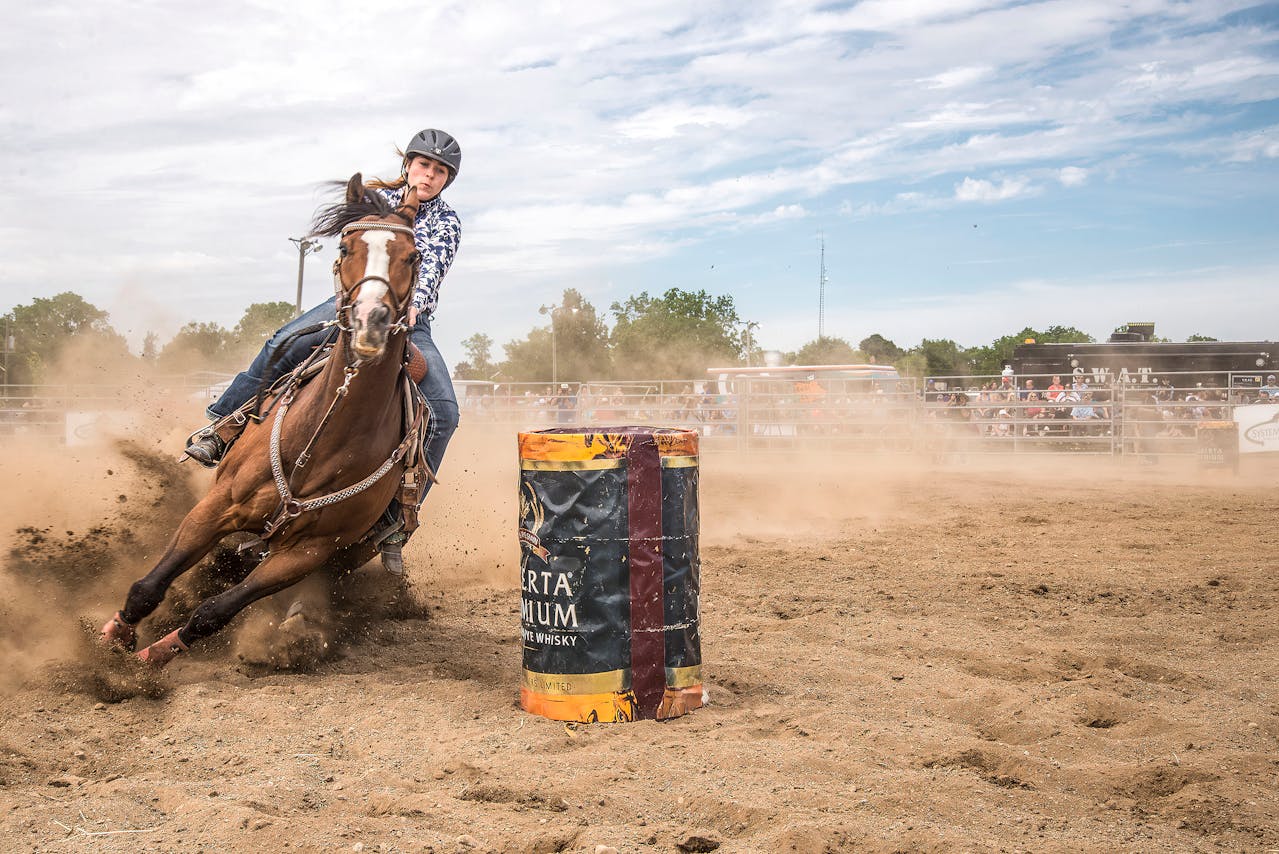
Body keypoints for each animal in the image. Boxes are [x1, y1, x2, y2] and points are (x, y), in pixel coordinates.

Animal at [99, 175, 427, 664]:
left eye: (413, 256)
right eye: (346, 246)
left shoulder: (306, 554)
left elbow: (213, 613)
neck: (322, 440)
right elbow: (148, 585)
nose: (371, 320)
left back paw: (297, 627)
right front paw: (112, 640)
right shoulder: (217, 506)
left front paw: (149, 660)